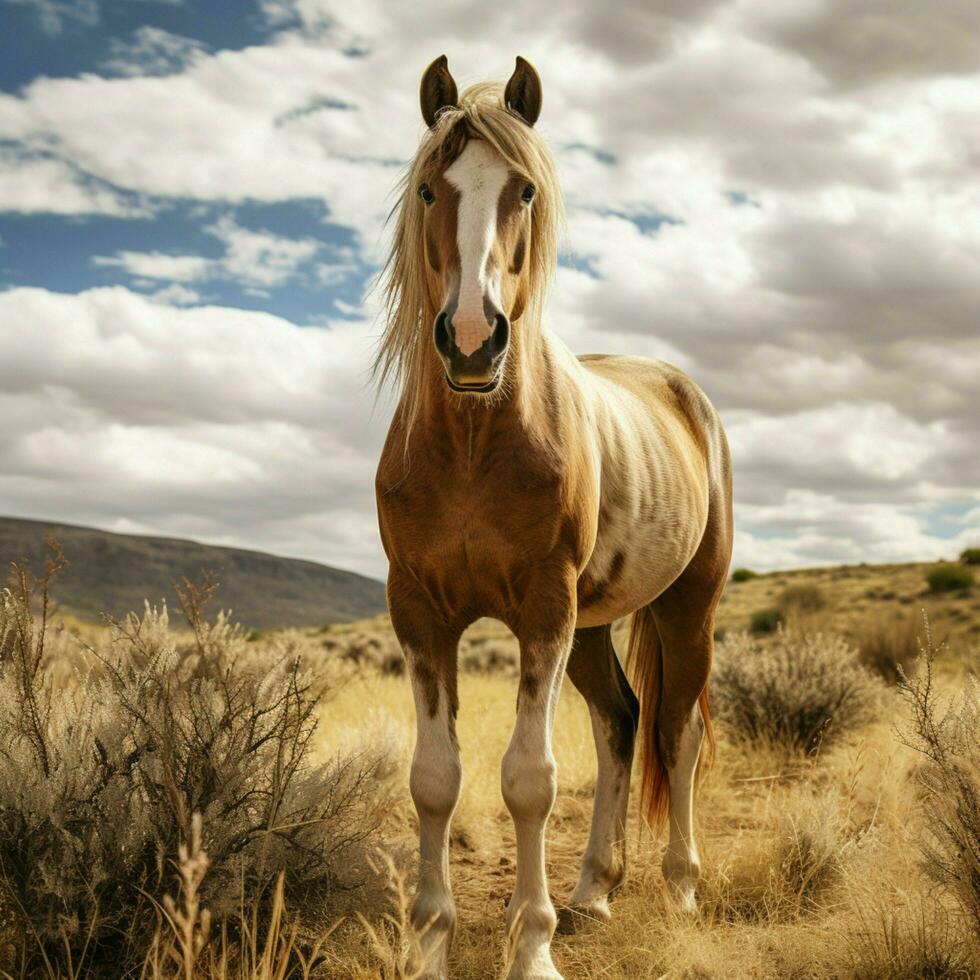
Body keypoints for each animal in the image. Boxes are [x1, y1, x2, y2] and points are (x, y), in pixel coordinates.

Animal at [372, 55, 732, 980]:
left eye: (525, 189)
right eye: (428, 189)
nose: (472, 339)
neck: (473, 444)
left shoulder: (542, 608)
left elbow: (529, 777)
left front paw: (530, 947)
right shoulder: (419, 610)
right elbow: (435, 777)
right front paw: (431, 942)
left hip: (686, 608)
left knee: (675, 732)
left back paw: (680, 887)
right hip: (595, 625)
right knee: (620, 723)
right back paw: (594, 888)